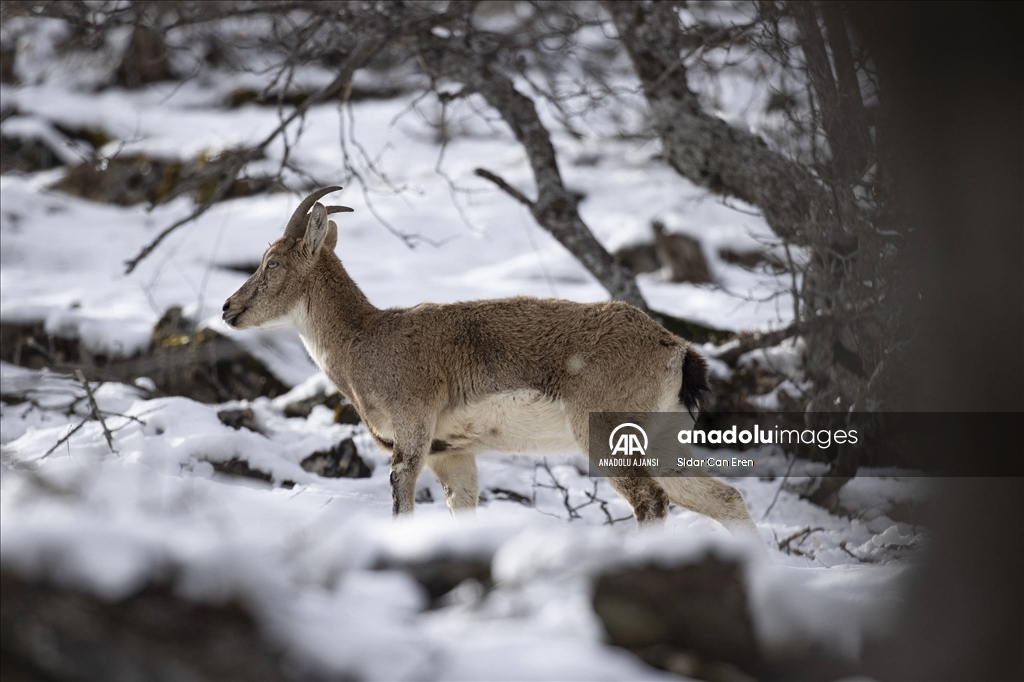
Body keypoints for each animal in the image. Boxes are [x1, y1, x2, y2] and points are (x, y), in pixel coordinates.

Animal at [222, 188, 761, 532]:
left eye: (272, 263)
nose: (228, 308)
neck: (363, 340)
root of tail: (677, 351)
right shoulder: (452, 454)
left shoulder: (411, 433)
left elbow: (400, 501)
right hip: (664, 439)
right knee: (725, 498)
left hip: (608, 436)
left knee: (652, 501)